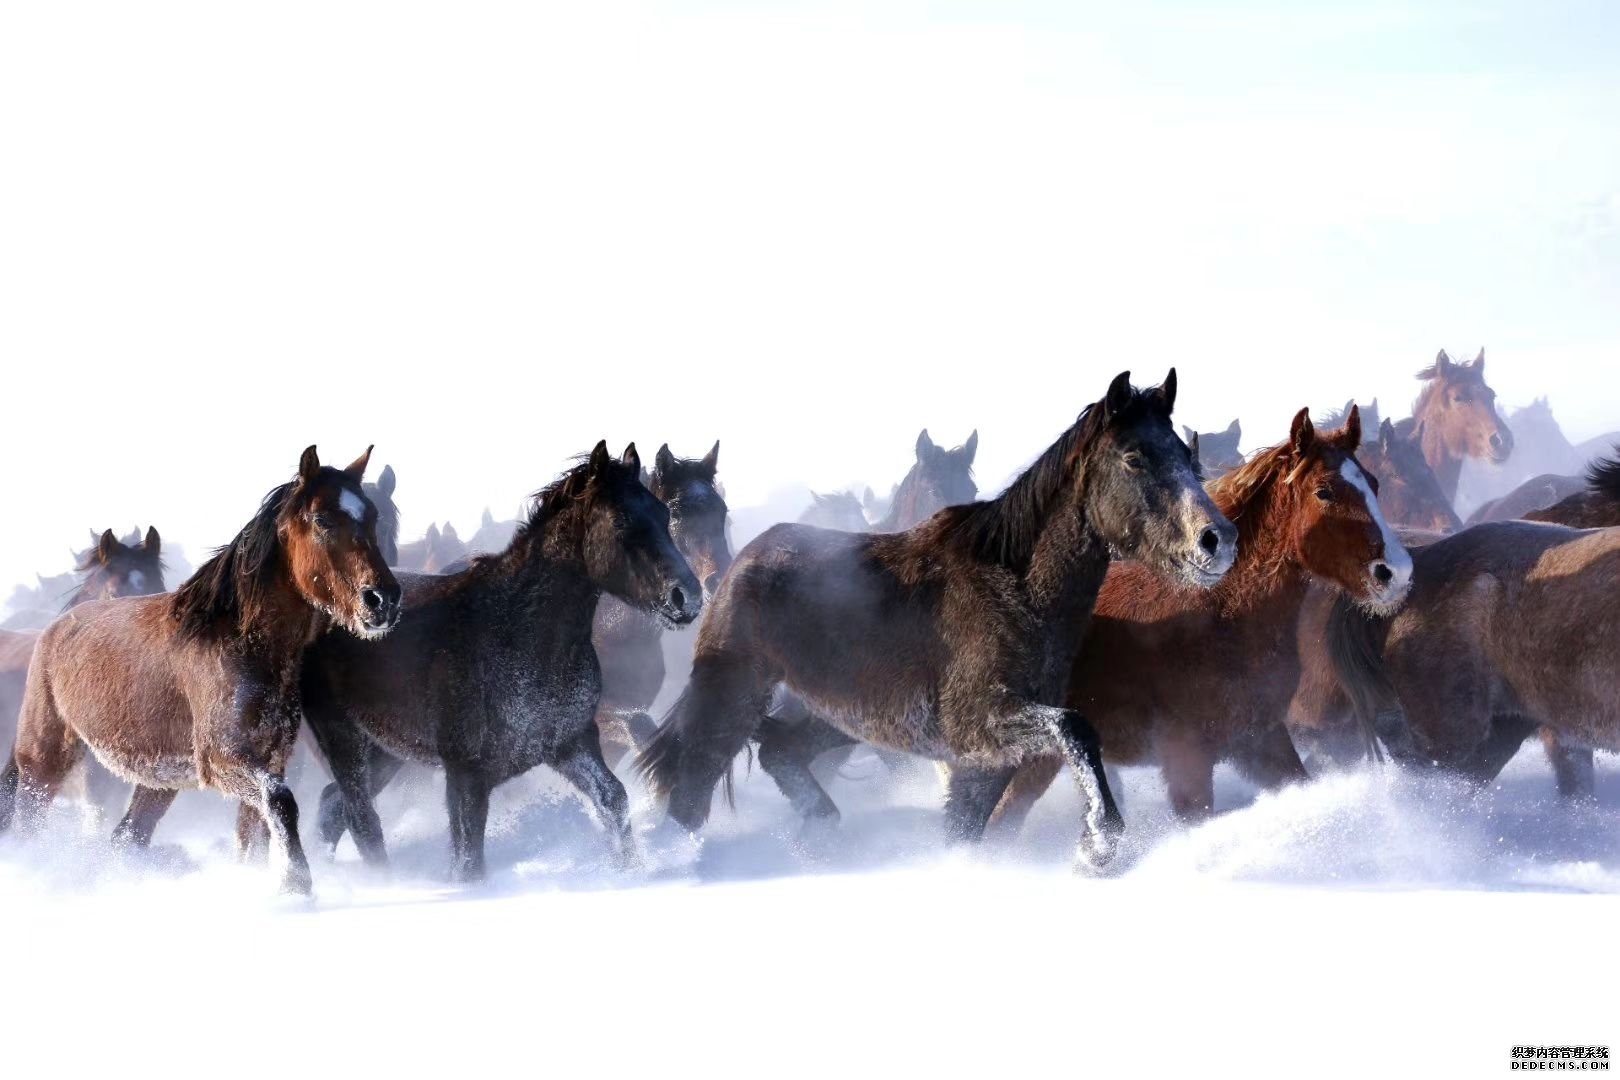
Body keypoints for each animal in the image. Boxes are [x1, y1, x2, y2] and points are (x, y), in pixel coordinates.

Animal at [0, 446, 401, 893]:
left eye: (373, 518)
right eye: (322, 520)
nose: (383, 600)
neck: (238, 643)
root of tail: (54, 629)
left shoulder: (269, 759)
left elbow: (253, 835)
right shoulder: (222, 760)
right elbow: (281, 802)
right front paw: (296, 884)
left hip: (157, 781)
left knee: (127, 836)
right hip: (43, 762)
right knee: (31, 826)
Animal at [638, 372, 1231, 867]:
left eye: (1186, 453)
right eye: (1133, 458)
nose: (1217, 540)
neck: (1016, 592)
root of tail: (738, 563)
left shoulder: (984, 761)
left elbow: (968, 829)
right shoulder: (983, 726)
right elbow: (1076, 728)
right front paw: (1098, 845)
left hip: (837, 717)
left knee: (781, 750)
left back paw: (821, 828)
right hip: (734, 697)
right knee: (692, 786)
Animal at [978, 409, 1412, 835]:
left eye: (1374, 483)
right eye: (1324, 491)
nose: (1395, 572)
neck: (1216, 611)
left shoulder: (1261, 740)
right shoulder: (1188, 760)